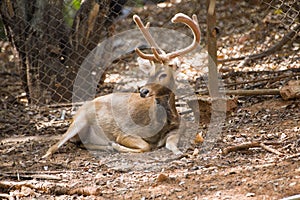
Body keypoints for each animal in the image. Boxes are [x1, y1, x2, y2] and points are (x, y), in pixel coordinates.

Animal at [42, 13, 200, 159]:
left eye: (163, 74)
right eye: (149, 73)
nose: (143, 91)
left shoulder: (179, 126)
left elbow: (171, 143)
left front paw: (180, 152)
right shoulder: (125, 132)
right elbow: (145, 146)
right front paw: (117, 145)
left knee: (81, 143)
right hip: (79, 120)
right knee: (55, 146)